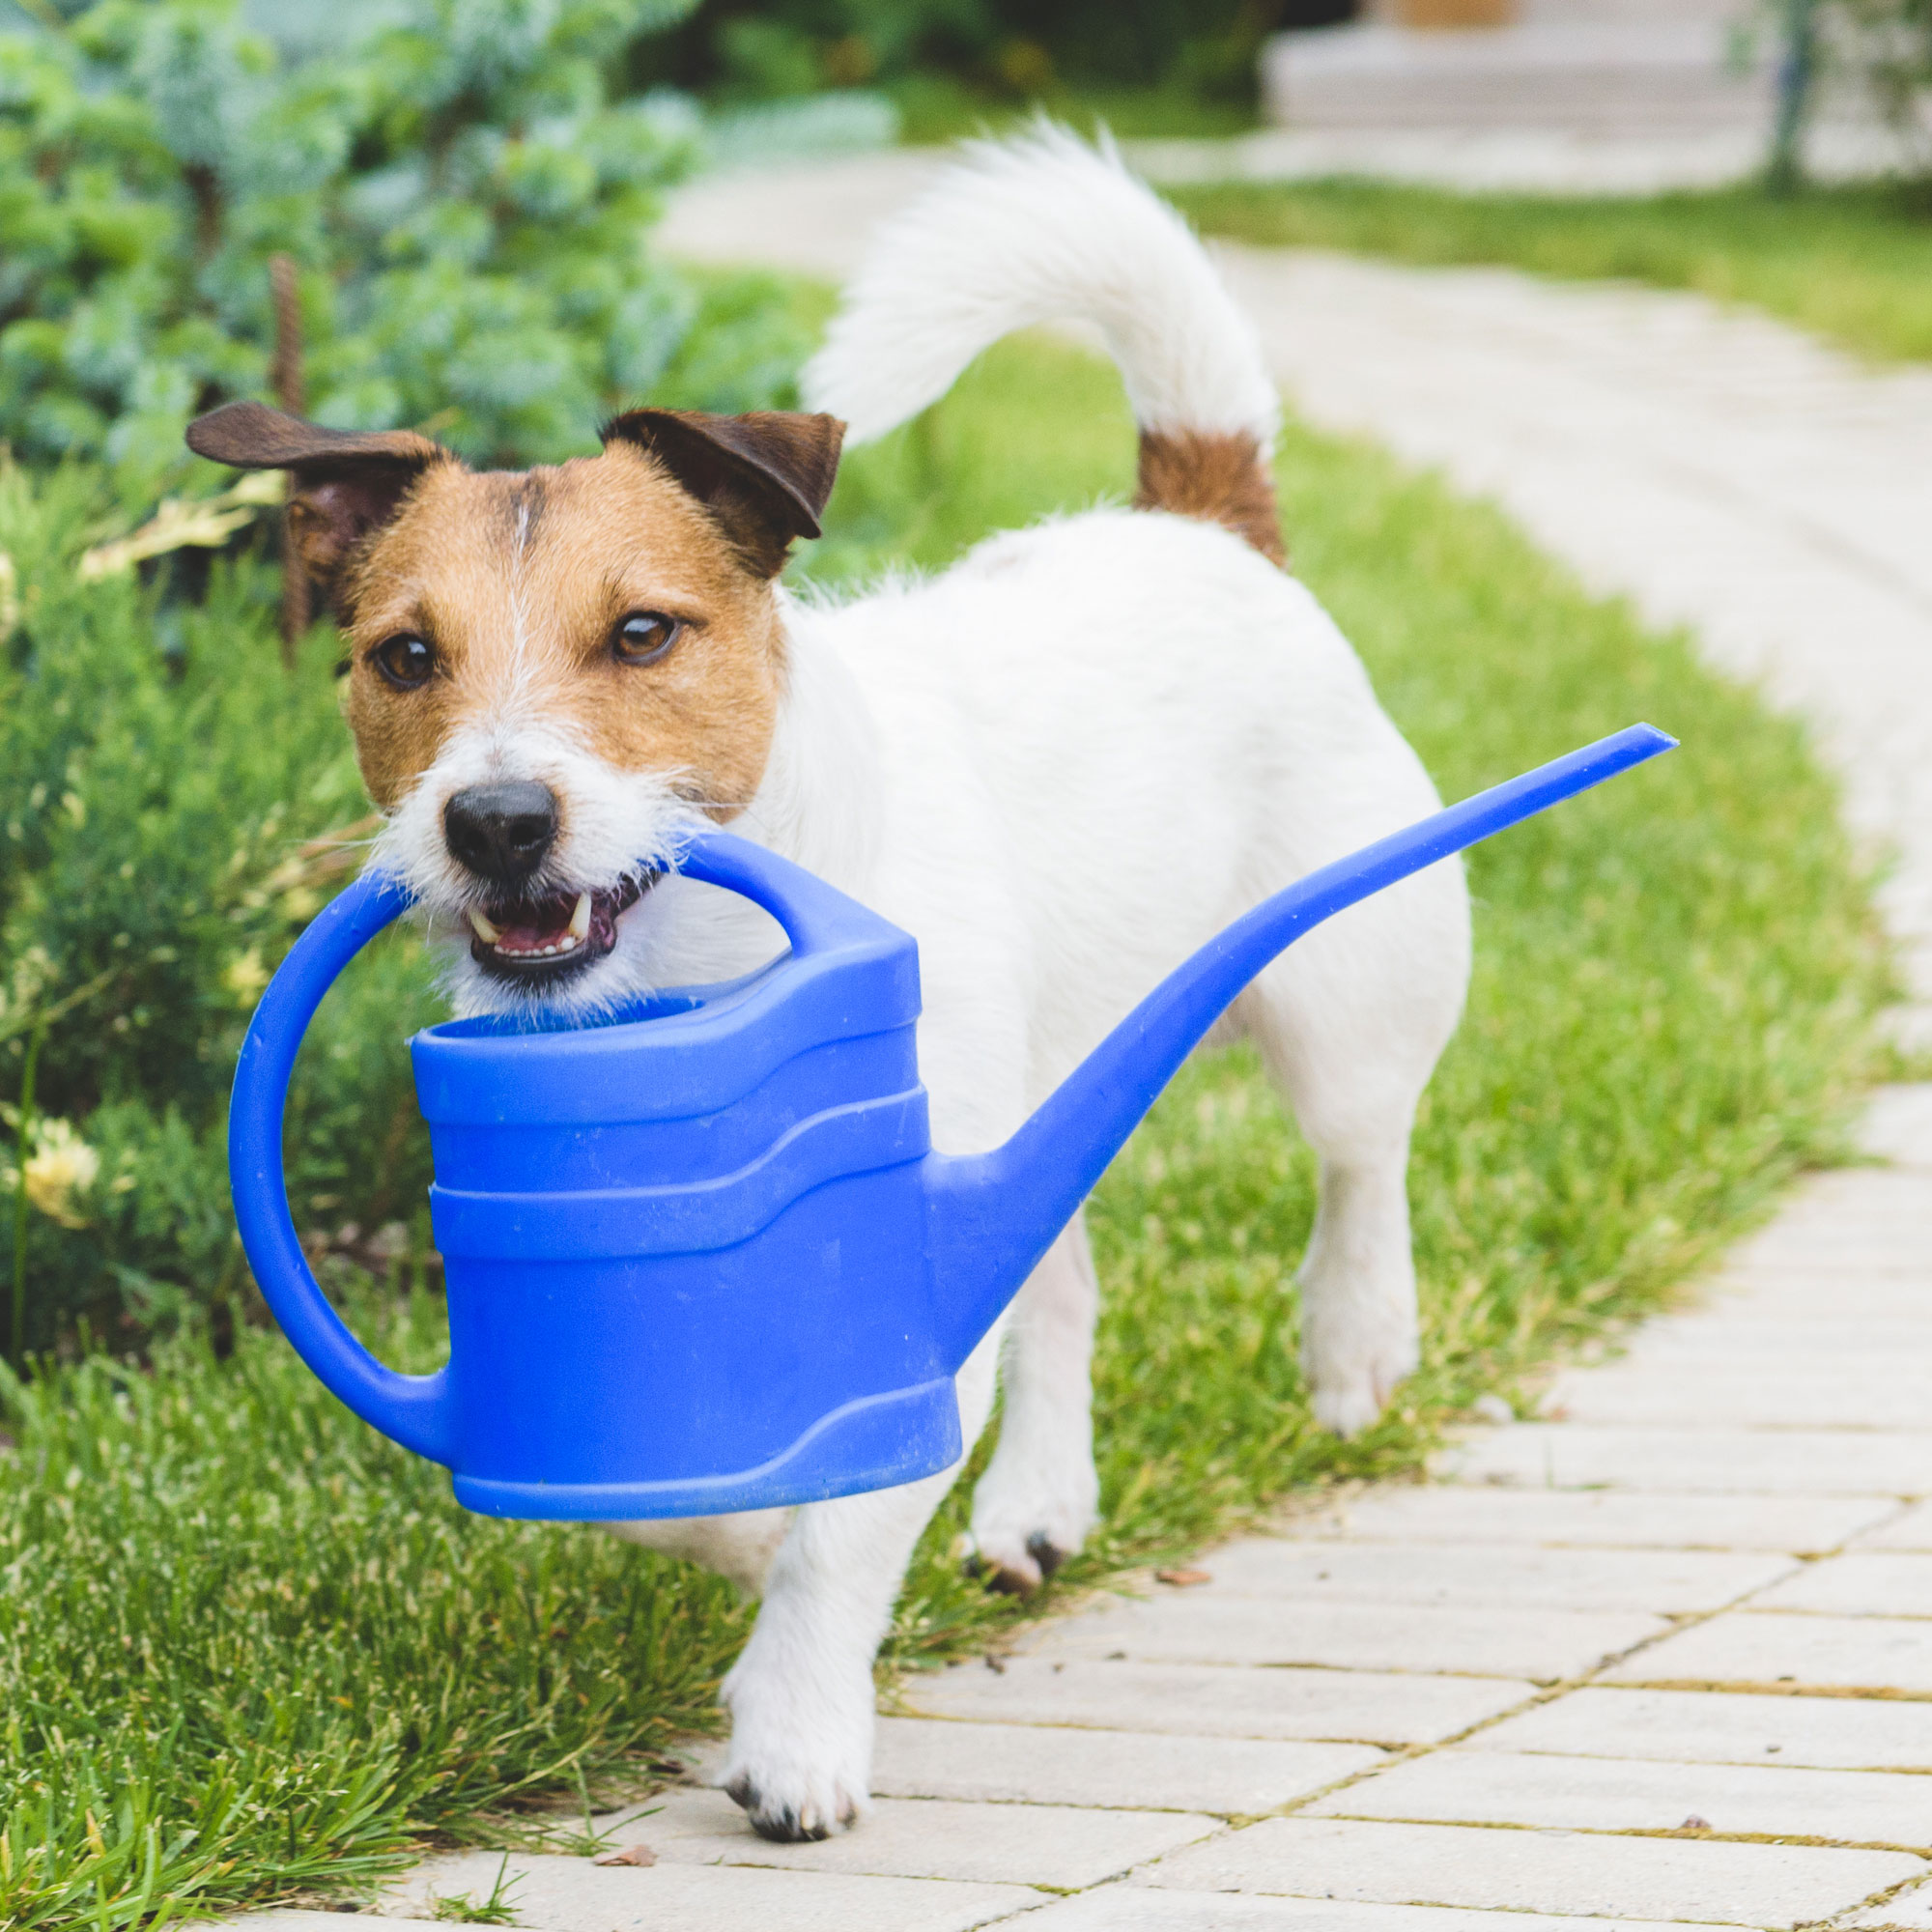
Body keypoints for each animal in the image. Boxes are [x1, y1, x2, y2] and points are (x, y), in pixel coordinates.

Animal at [188, 132, 1468, 1839]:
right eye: (404, 657)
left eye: (642, 632)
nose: (496, 820)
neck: (698, 960)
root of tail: (1199, 520)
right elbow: (709, 1489)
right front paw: (739, 1530)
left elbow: (843, 1532)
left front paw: (796, 1726)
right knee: (1064, 1276)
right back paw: (1039, 1499)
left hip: (1343, 990)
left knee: (1361, 1152)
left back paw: (1353, 1340)